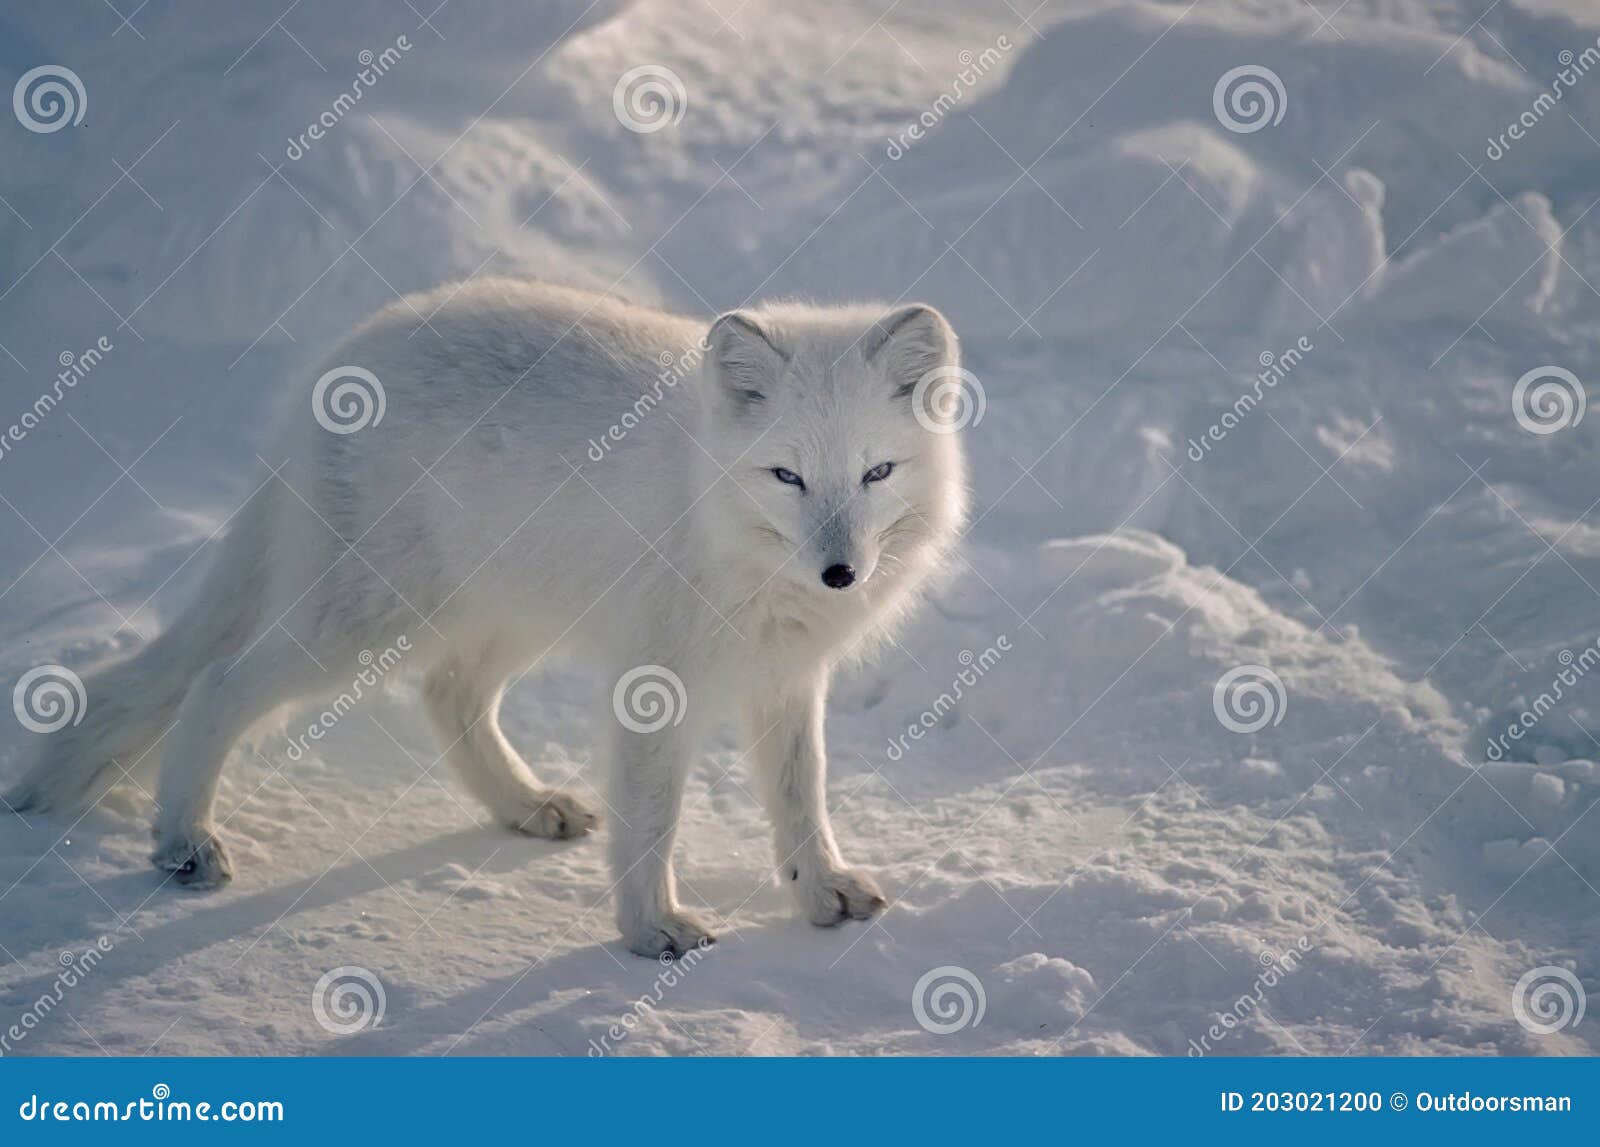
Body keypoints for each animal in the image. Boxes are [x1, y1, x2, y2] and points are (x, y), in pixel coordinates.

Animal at [6, 279, 966, 959]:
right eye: (787, 476)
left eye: (877, 472)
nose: (841, 574)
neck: (715, 514)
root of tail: (338, 357)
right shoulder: (656, 679)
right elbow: (653, 817)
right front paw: (650, 928)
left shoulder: (785, 678)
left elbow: (803, 797)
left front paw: (821, 892)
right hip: (359, 623)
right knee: (216, 681)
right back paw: (184, 840)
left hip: (501, 615)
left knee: (447, 695)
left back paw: (527, 804)